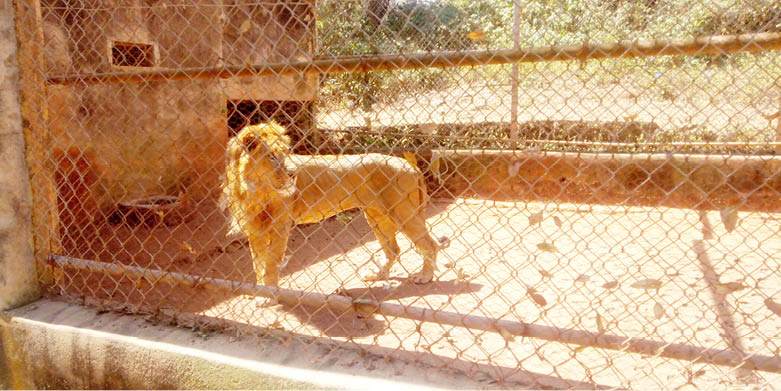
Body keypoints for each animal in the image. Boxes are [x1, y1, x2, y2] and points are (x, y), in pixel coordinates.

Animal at [222, 121, 442, 298]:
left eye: (286, 153)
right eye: (272, 157)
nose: (294, 174)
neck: (253, 189)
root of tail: (410, 165)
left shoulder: (280, 227)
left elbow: (270, 264)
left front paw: (267, 296)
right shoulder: (254, 229)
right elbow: (257, 264)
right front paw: (259, 291)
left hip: (404, 214)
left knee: (429, 245)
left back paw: (425, 276)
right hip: (376, 216)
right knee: (393, 250)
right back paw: (377, 275)